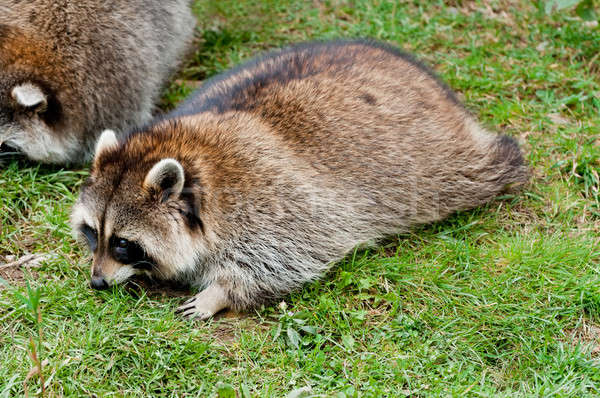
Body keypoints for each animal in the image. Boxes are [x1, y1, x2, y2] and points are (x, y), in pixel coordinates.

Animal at [71, 39, 528, 320]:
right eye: (92, 233)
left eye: (124, 243)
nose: (96, 282)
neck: (189, 154)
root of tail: (428, 81)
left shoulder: (272, 199)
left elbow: (286, 258)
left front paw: (219, 293)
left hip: (438, 161)